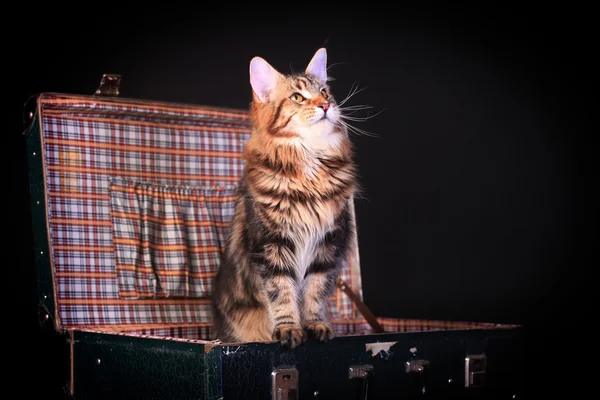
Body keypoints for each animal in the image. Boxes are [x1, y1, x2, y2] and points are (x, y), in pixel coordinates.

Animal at [213, 46, 358, 346]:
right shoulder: (271, 246)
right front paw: (289, 329)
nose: (325, 106)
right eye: (297, 97)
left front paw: (316, 325)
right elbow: (281, 293)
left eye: (324, 92)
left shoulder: (327, 246)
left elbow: (315, 292)